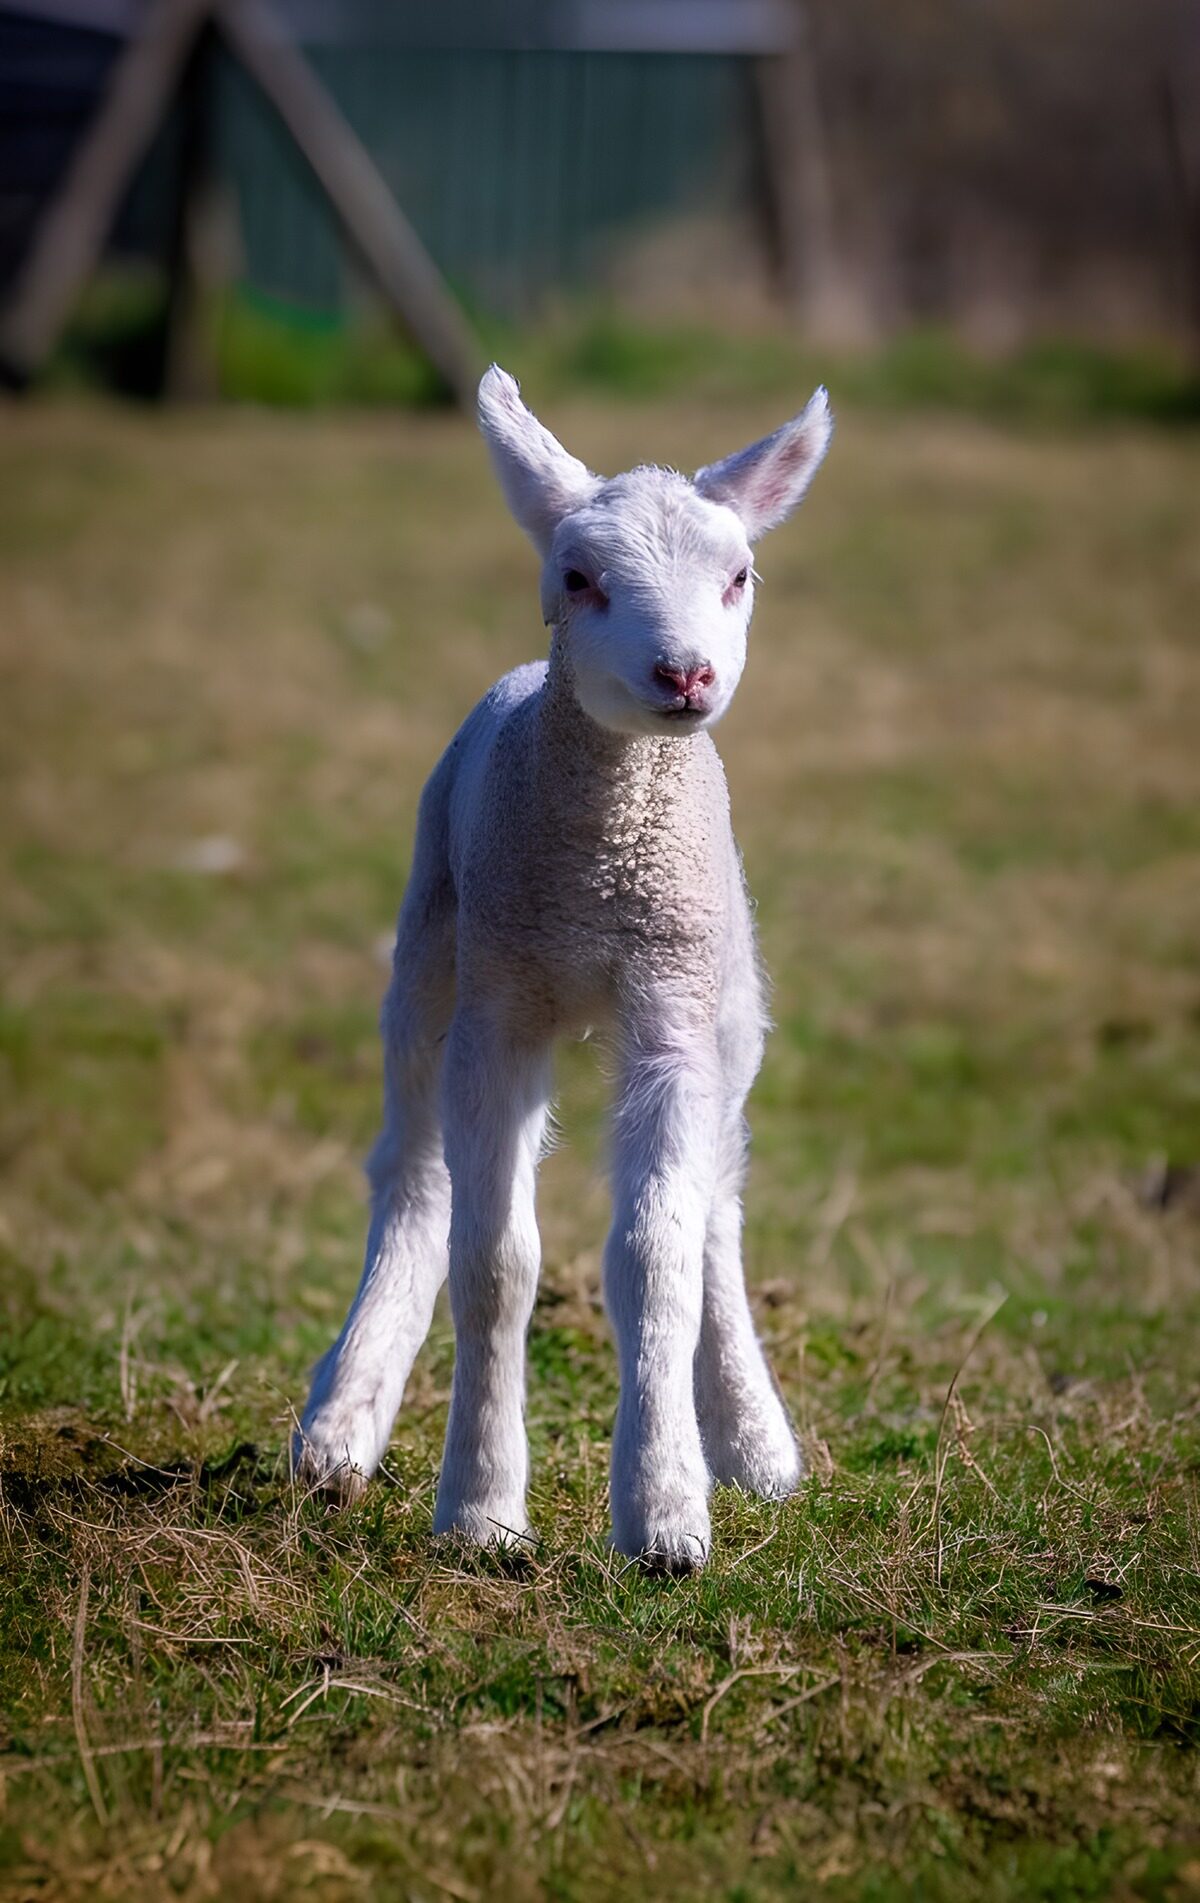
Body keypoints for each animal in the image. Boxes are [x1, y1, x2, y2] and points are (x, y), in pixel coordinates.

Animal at [295, 366, 833, 1572]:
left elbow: (656, 1253)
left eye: (739, 576)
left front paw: (668, 1513)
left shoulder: (674, 999)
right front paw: (481, 1508)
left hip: (736, 997)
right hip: (432, 949)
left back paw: (753, 1438)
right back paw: (342, 1420)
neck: (602, 874)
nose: (685, 672)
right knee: (413, 1174)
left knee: (718, 1202)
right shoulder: (503, 1004)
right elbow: (496, 1259)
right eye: (580, 580)